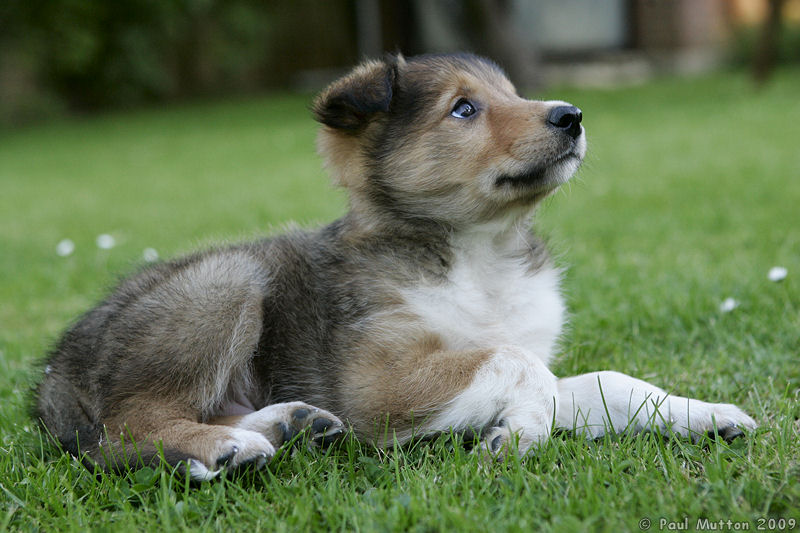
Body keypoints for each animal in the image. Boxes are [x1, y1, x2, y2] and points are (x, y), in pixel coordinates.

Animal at [34, 53, 756, 478]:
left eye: (511, 93)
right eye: (464, 108)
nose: (572, 116)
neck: (481, 256)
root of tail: (52, 375)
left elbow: (597, 381)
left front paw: (708, 413)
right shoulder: (376, 385)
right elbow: (516, 363)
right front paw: (518, 434)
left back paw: (290, 424)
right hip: (226, 282)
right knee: (121, 429)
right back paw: (225, 448)